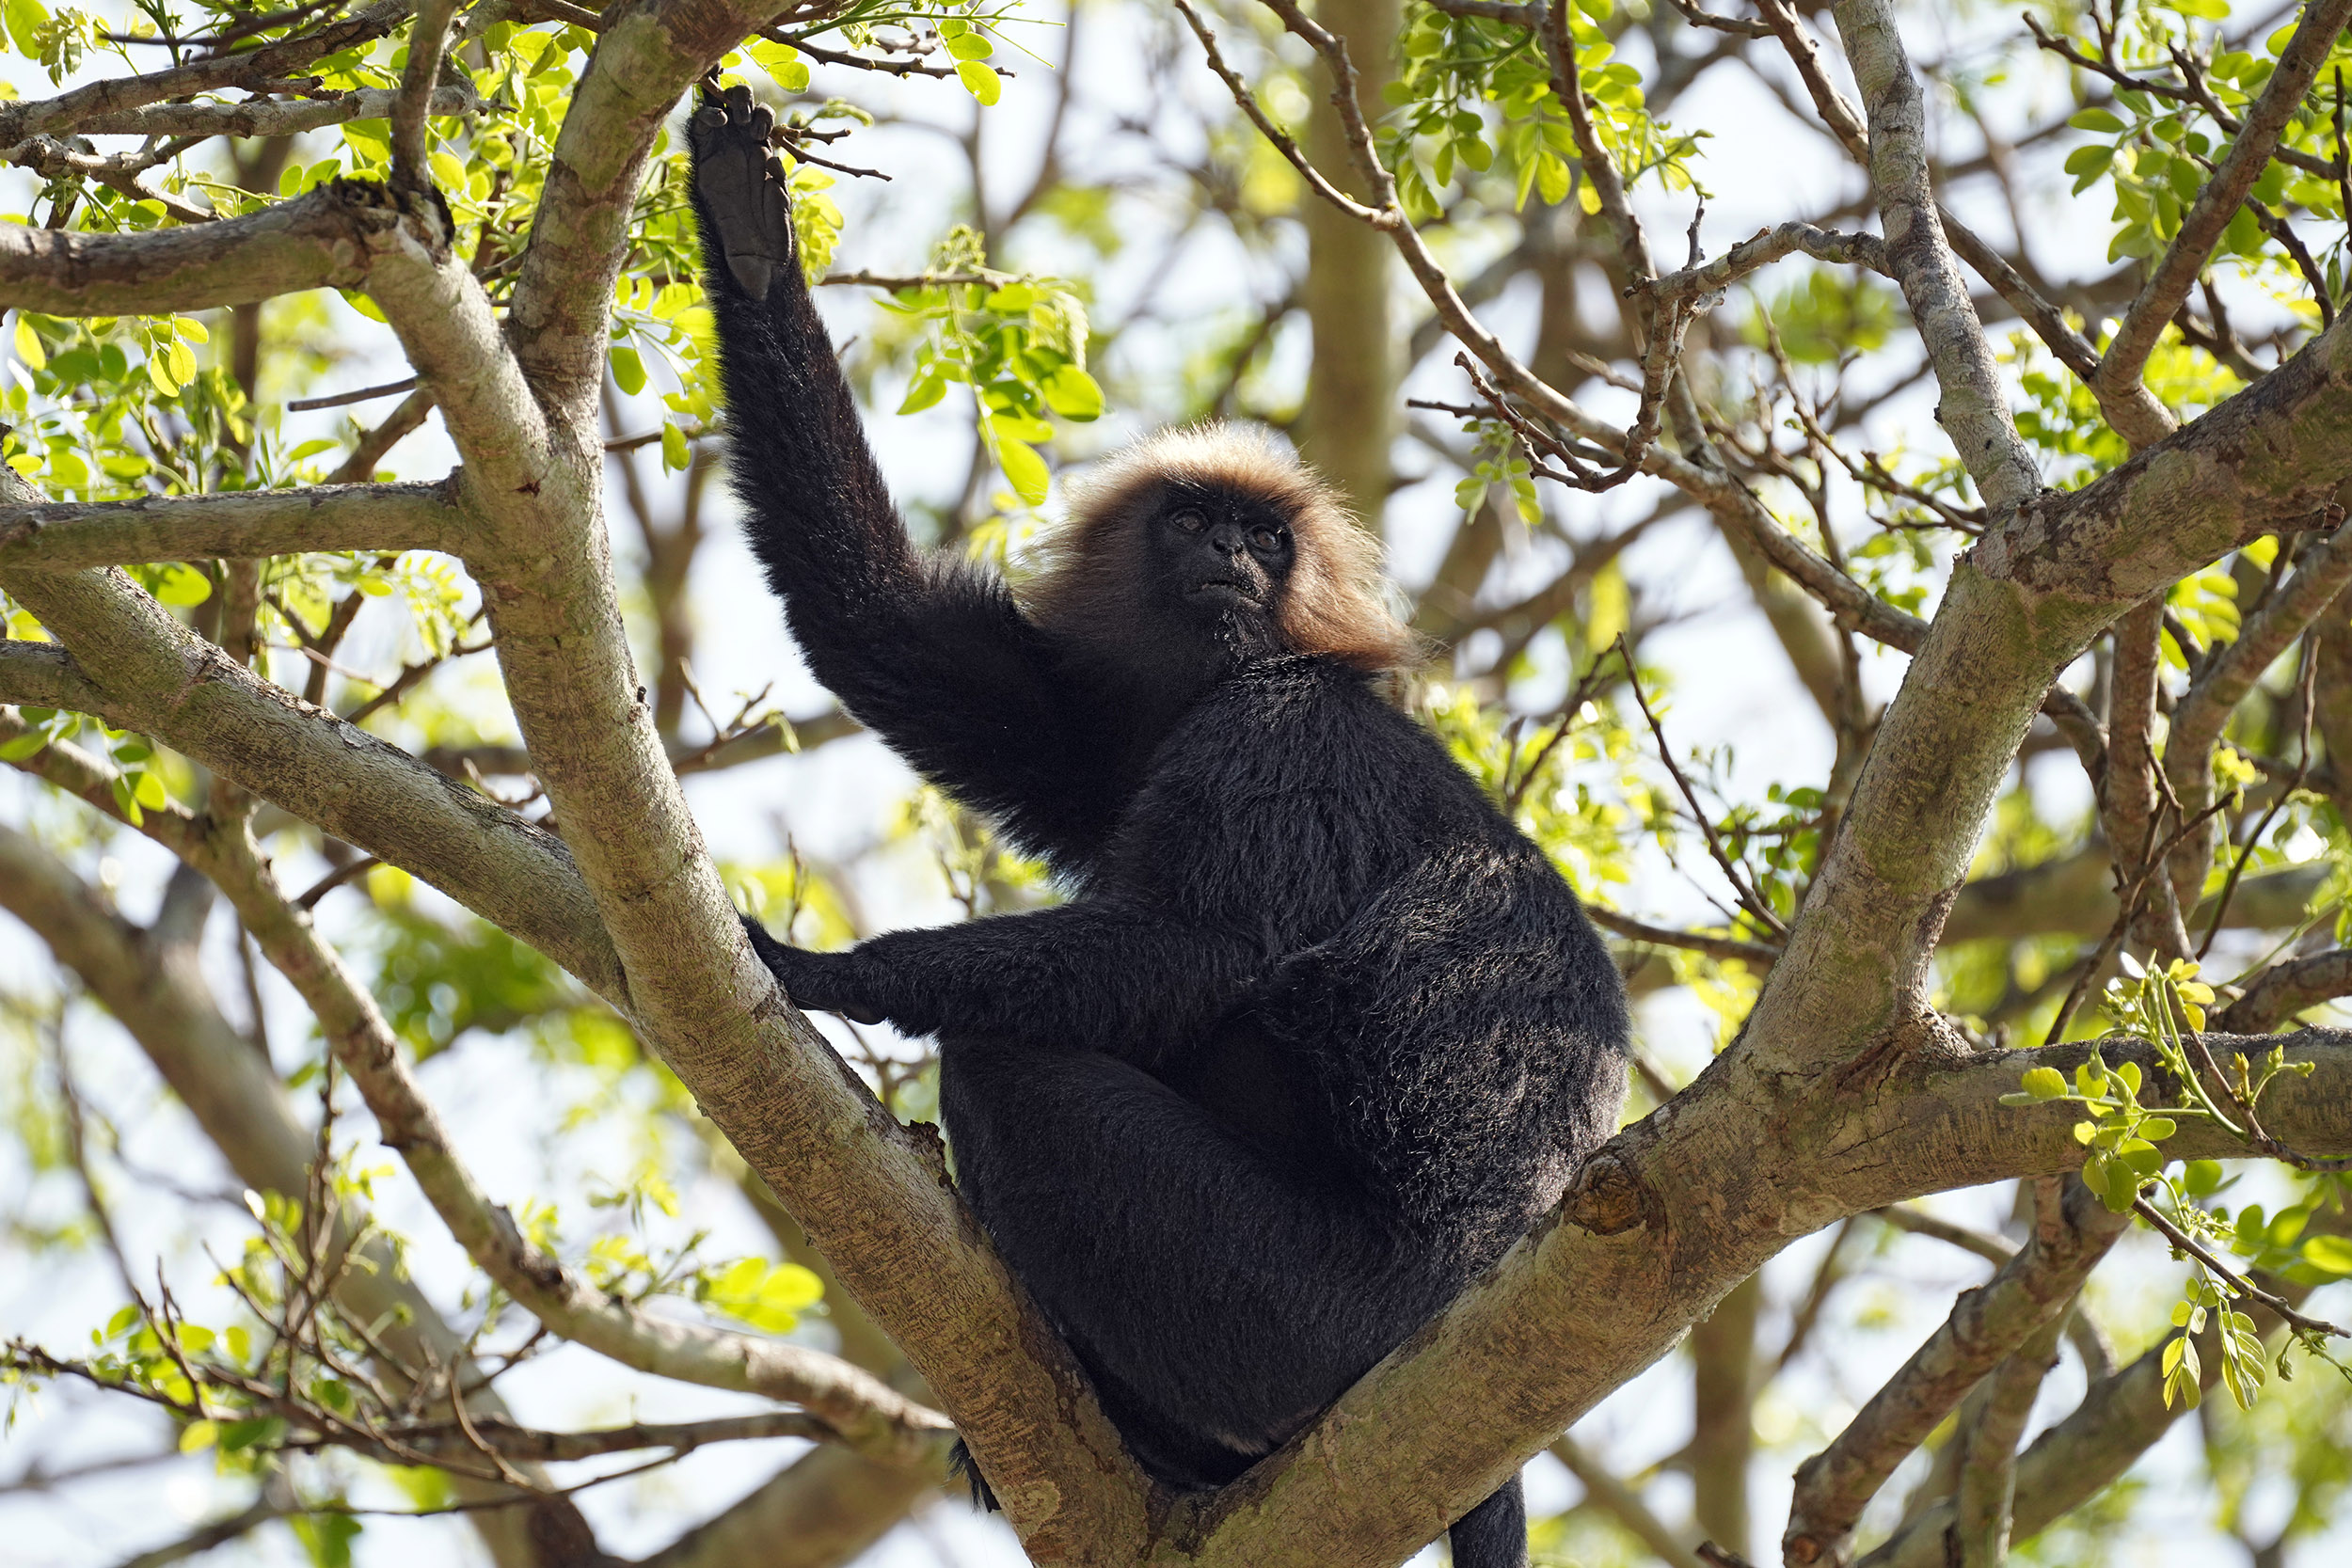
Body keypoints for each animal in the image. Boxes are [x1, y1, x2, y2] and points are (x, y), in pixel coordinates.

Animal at [688, 84, 1630, 1568]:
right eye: (1195, 523)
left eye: (1264, 537)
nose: (1235, 555)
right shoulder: (1117, 734)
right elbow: (880, 629)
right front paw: (745, 230)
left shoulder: (1277, 731)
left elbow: (1200, 951)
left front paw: (821, 967)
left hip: (1298, 1308)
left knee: (1009, 1065)